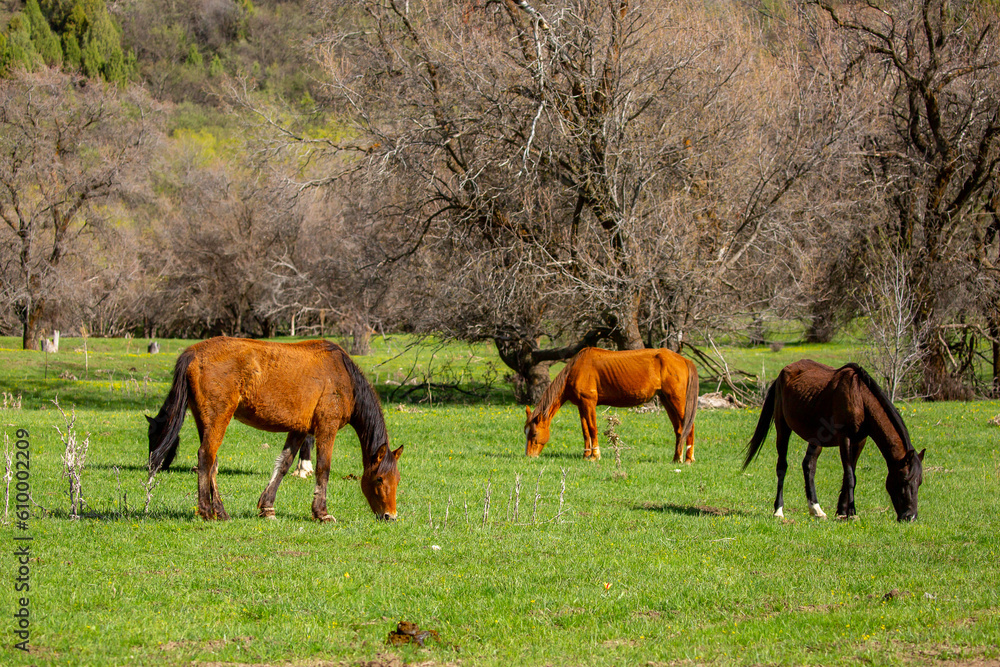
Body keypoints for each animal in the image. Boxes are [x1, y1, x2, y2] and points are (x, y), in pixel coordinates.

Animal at [147, 337, 403, 522]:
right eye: (379, 479)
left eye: (397, 479)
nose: (390, 516)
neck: (343, 374)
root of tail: (194, 352)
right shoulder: (326, 427)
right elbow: (323, 469)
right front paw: (321, 513)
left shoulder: (299, 429)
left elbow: (283, 465)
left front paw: (267, 507)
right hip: (219, 418)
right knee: (206, 457)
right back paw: (207, 511)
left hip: (205, 420)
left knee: (212, 463)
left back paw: (220, 510)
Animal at [524, 347, 699, 462]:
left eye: (533, 434)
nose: (529, 456)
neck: (577, 368)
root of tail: (684, 360)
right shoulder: (581, 405)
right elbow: (585, 431)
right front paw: (586, 455)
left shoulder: (589, 403)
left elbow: (592, 429)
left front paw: (595, 456)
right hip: (667, 401)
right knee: (679, 429)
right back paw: (676, 458)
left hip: (677, 400)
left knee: (689, 427)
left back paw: (688, 459)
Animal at [742, 359, 924, 522]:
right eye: (904, 480)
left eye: (920, 483)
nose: (910, 517)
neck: (860, 398)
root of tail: (782, 373)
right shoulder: (845, 439)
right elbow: (850, 476)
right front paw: (851, 512)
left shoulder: (860, 441)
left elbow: (849, 475)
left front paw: (842, 511)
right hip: (783, 427)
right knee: (782, 466)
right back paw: (778, 511)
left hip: (815, 438)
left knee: (808, 465)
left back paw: (816, 510)